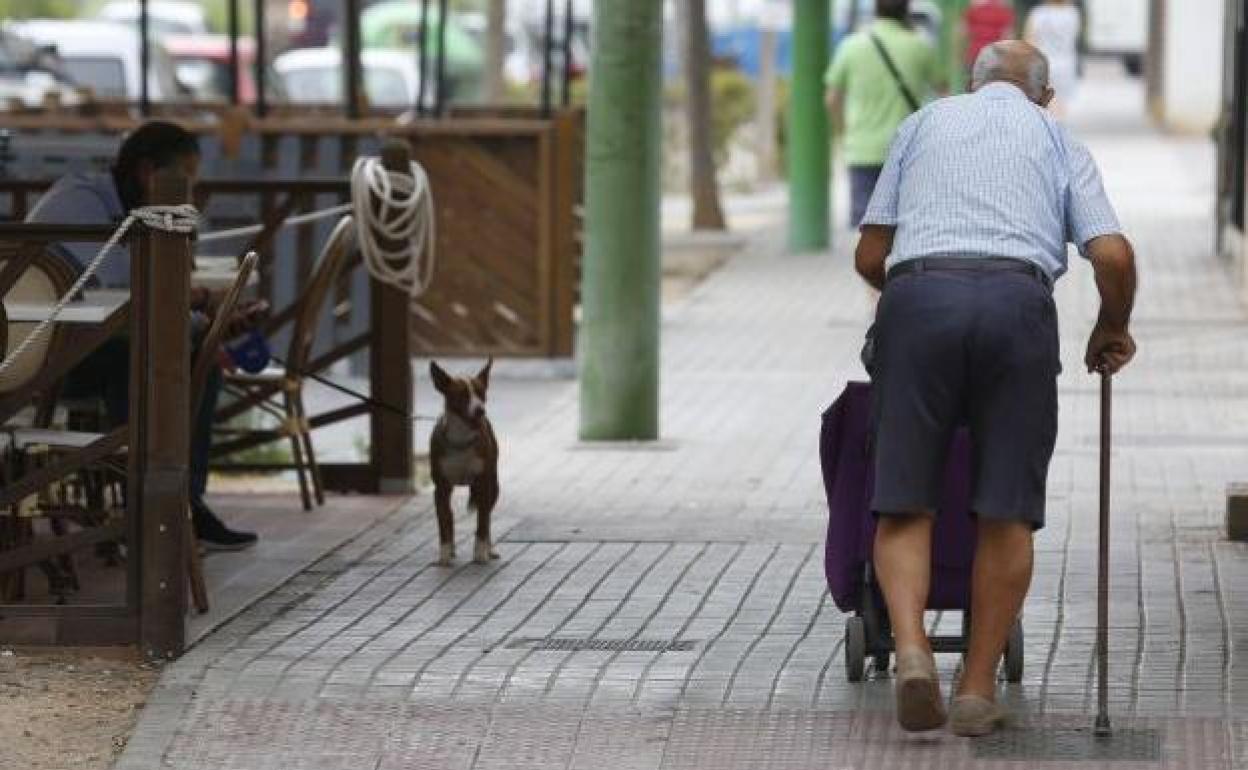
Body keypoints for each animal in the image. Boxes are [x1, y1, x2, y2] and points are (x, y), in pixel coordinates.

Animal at [429, 356, 496, 564]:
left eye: (481, 393)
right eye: (462, 394)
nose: (480, 410)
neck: (461, 439)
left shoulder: (484, 484)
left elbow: (483, 522)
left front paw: (481, 553)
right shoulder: (441, 488)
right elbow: (444, 523)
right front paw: (444, 555)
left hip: (495, 485)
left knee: (488, 517)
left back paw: (490, 549)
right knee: (450, 517)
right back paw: (451, 550)